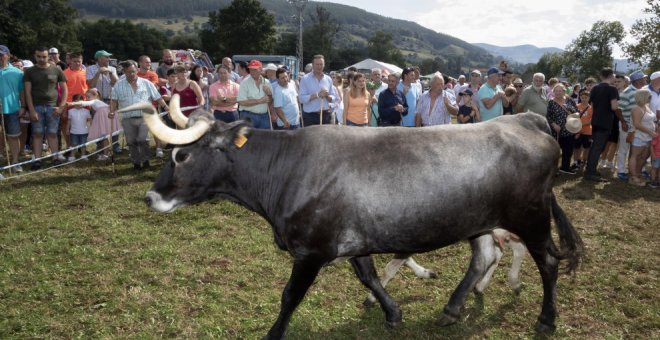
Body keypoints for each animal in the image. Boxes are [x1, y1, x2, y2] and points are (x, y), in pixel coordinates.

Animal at [122, 96, 584, 340]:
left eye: (181, 156)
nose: (150, 197)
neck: (286, 168)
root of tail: (527, 117)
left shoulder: (311, 250)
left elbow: (290, 296)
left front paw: (273, 333)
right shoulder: (353, 240)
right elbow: (370, 277)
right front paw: (392, 313)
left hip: (531, 216)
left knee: (548, 261)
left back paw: (547, 318)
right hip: (481, 221)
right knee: (484, 257)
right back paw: (452, 308)